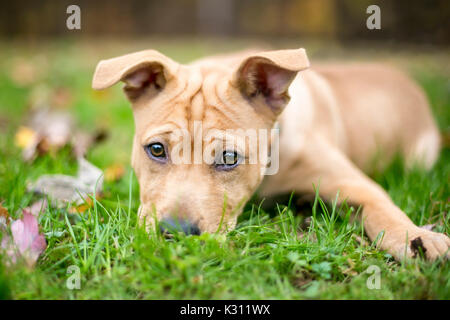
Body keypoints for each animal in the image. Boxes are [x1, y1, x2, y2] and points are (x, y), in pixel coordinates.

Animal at [92, 48, 450, 262]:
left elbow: (382, 208)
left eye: (229, 158)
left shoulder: (354, 183)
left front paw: (418, 237)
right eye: (156, 150)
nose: (175, 233)